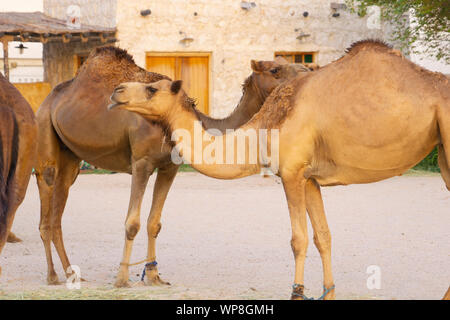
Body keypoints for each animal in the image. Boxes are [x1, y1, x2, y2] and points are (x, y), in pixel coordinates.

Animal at [35, 47, 306, 288]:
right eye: (275, 69)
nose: (306, 71)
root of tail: (48, 101)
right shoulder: (141, 162)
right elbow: (132, 222)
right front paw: (122, 279)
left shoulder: (169, 167)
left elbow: (154, 222)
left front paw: (154, 276)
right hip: (45, 134)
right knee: (46, 201)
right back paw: (52, 275)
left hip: (71, 157)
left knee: (59, 209)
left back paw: (72, 274)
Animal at [110, 40, 450, 300]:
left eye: (152, 89)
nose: (117, 92)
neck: (264, 127)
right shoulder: (309, 177)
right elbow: (323, 236)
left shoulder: (291, 173)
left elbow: (298, 239)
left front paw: (297, 292)